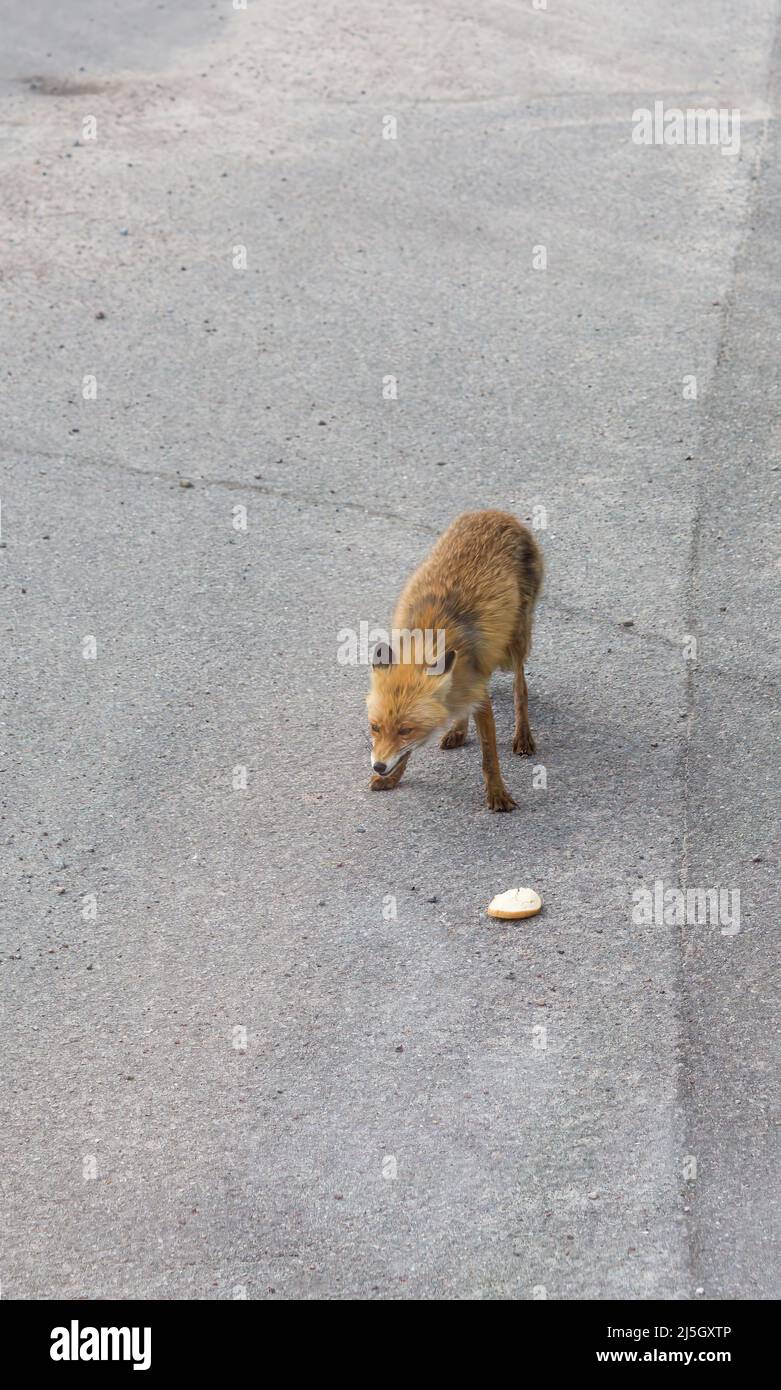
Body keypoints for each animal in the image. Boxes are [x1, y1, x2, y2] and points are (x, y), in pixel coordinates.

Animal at [366, 509, 543, 812]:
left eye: (405, 729)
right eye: (375, 727)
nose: (378, 766)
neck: (429, 641)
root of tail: (497, 512)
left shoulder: (481, 696)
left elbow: (489, 757)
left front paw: (497, 794)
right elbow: (407, 753)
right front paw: (393, 778)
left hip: (516, 641)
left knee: (520, 688)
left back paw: (522, 735)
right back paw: (458, 730)